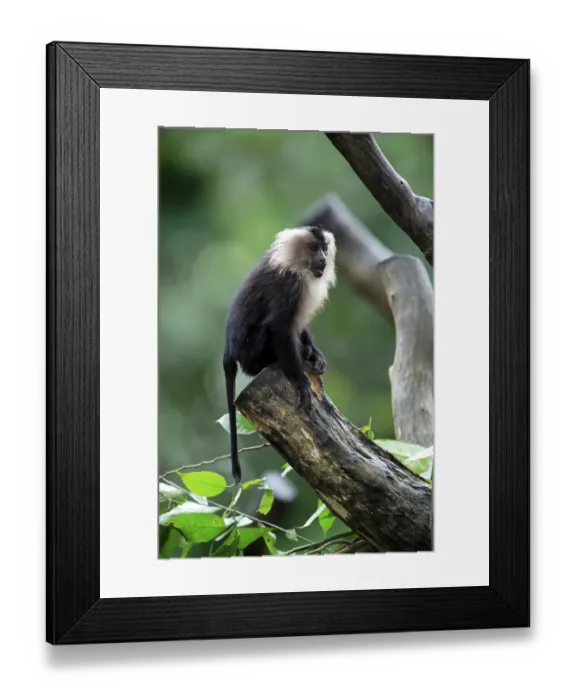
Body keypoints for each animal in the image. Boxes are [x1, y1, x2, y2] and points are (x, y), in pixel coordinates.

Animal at [223, 225, 337, 484]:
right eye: (313, 248)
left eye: (324, 248)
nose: (323, 258)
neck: (296, 264)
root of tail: (228, 350)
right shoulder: (291, 285)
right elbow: (280, 327)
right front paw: (301, 384)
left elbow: (297, 327)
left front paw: (315, 354)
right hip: (252, 350)